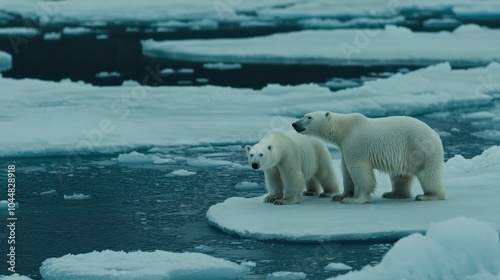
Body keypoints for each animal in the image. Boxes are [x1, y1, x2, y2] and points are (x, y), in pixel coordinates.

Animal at [292, 111, 444, 203]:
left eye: (309, 117)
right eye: (305, 115)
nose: (294, 124)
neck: (345, 129)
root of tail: (436, 136)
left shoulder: (355, 143)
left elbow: (359, 170)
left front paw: (355, 199)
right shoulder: (345, 146)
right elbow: (346, 171)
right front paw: (340, 195)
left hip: (421, 149)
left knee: (427, 174)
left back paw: (428, 195)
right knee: (400, 176)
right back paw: (393, 194)